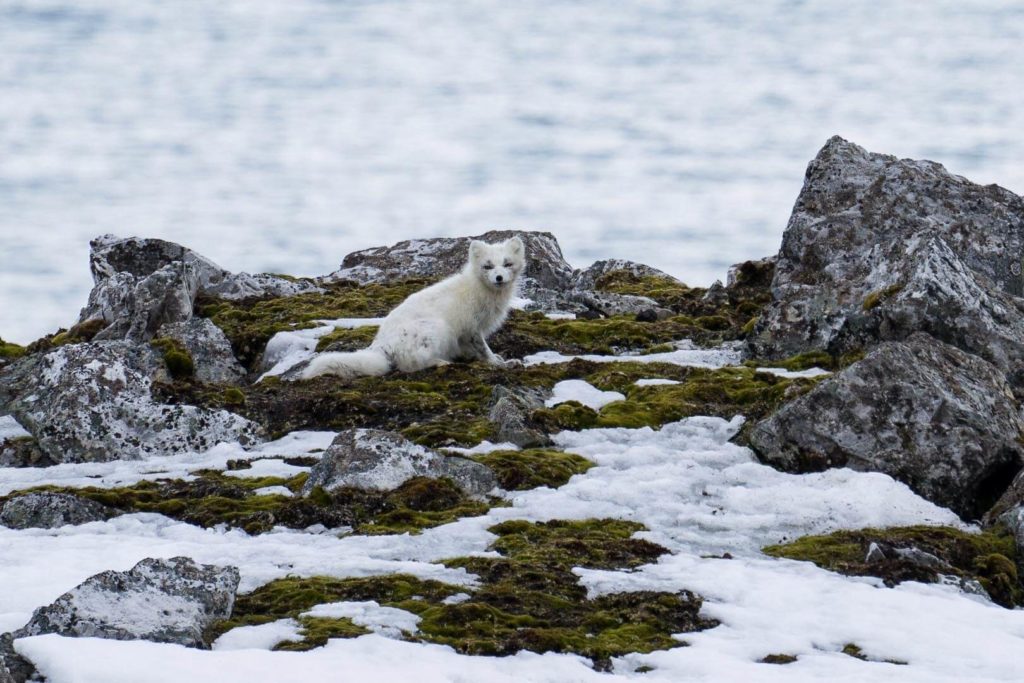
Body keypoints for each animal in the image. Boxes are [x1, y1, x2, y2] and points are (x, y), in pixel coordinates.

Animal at [299, 239, 524, 378]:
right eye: (488, 266)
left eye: (507, 264)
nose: (499, 278)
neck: (480, 290)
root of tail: (380, 344)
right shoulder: (471, 328)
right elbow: (483, 348)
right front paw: (497, 363)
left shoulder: (467, 334)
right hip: (437, 328)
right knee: (411, 364)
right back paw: (442, 362)